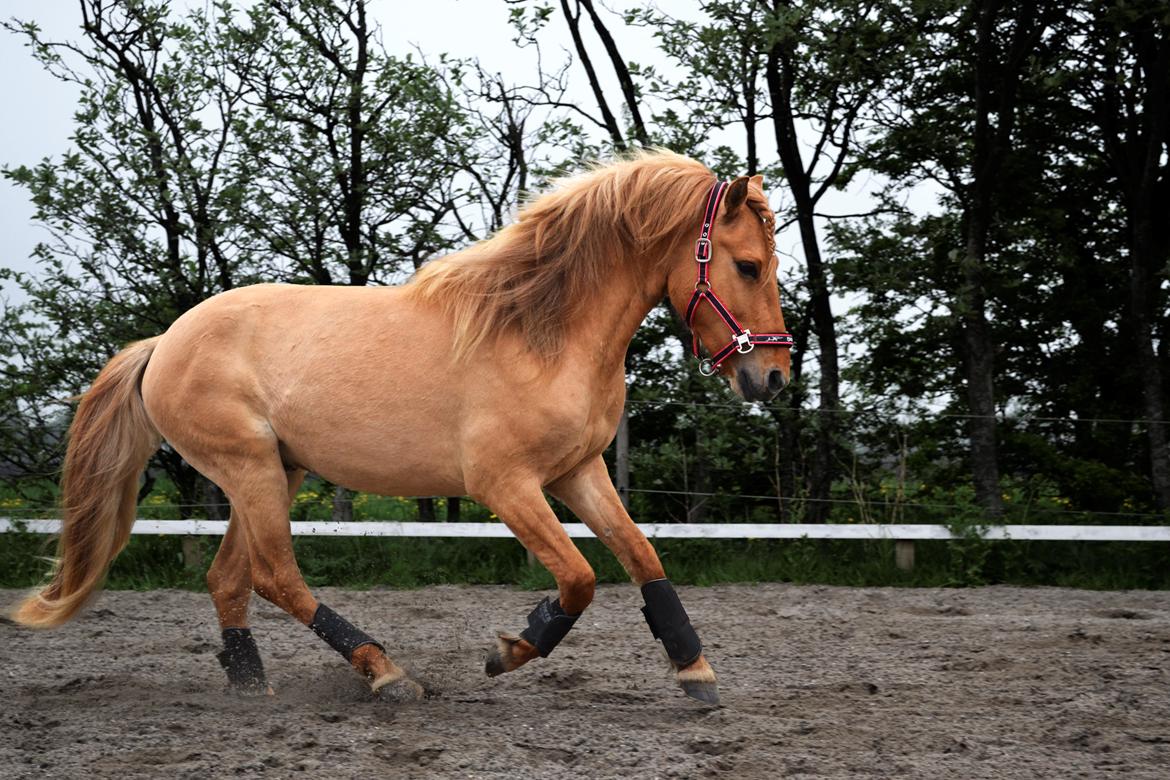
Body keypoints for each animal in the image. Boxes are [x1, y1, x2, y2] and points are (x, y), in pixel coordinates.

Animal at [9, 149, 790, 706]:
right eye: (748, 265)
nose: (775, 378)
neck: (541, 333)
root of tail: (163, 343)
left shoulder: (579, 470)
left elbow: (642, 557)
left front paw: (696, 671)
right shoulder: (505, 483)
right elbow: (578, 578)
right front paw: (509, 650)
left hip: (276, 470)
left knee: (229, 579)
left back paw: (251, 684)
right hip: (250, 467)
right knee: (274, 575)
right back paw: (386, 673)